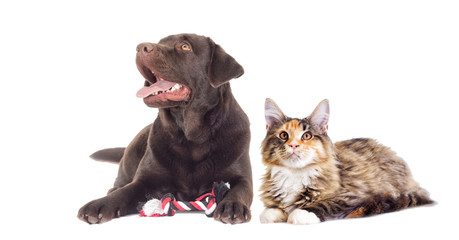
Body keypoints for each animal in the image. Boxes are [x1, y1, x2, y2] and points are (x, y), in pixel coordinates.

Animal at [77, 33, 253, 223]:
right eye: (161, 42)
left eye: (185, 46)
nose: (141, 47)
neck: (191, 136)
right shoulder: (144, 181)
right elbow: (126, 192)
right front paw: (101, 203)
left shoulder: (243, 177)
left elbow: (240, 190)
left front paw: (232, 205)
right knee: (120, 183)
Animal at [260, 98, 434, 224]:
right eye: (283, 135)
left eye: (307, 136)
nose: (293, 145)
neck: (295, 174)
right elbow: (270, 209)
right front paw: (274, 212)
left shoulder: (352, 196)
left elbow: (326, 203)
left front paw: (301, 213)